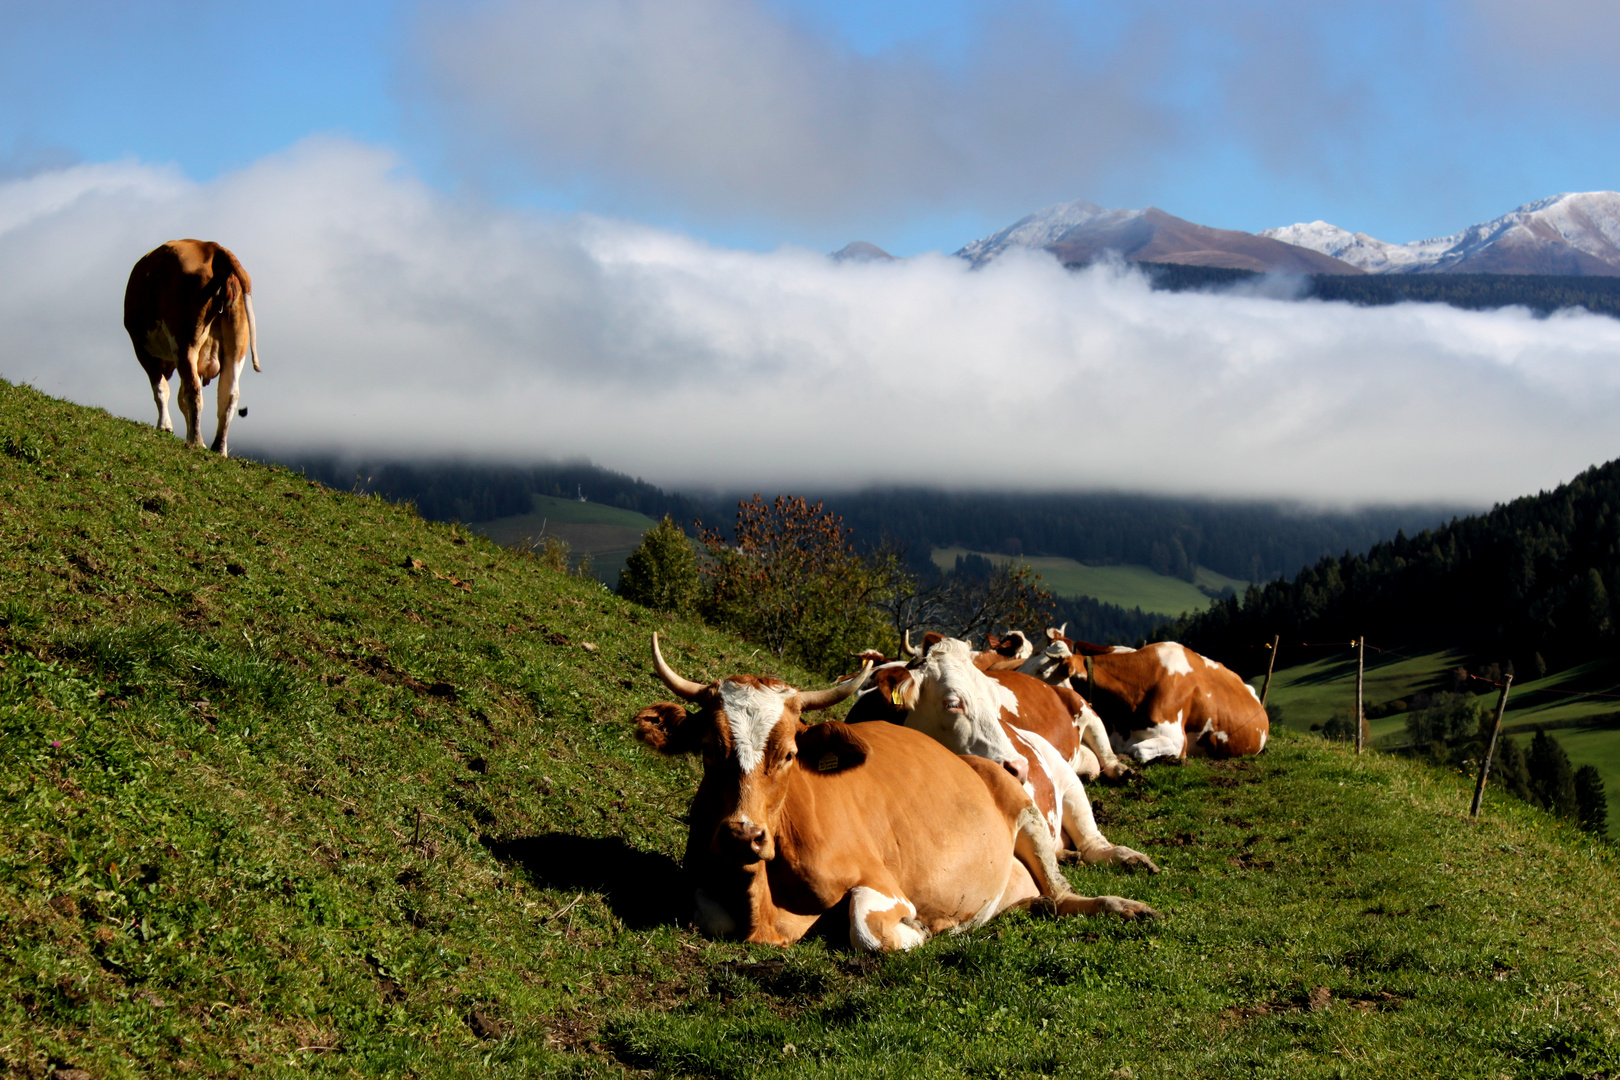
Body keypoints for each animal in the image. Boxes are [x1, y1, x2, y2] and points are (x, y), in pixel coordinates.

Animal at [122, 238, 259, 459]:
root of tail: (213, 248)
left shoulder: (142, 349)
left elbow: (161, 388)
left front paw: (165, 426)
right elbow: (179, 398)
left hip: (185, 340)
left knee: (193, 390)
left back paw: (195, 440)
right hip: (237, 342)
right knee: (229, 394)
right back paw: (218, 448)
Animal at [628, 634, 1153, 952]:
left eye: (789, 753)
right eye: (709, 749)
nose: (743, 835)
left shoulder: (880, 882)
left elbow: (867, 926)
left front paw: (918, 928)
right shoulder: (703, 882)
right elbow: (708, 913)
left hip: (1032, 808)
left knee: (1066, 889)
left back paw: (1125, 901)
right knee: (1046, 899)